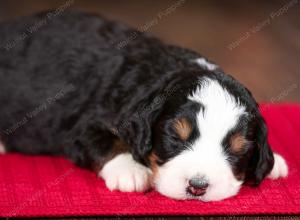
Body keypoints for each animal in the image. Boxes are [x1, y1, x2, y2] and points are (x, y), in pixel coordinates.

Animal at [0, 11, 288, 202]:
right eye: (175, 137)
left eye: (239, 149)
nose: (197, 186)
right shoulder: (82, 124)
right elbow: (105, 141)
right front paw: (130, 171)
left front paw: (274, 162)